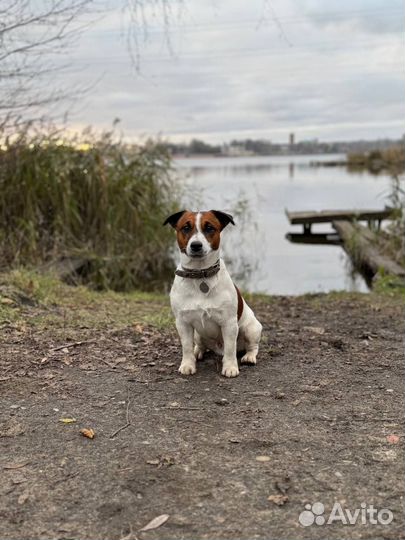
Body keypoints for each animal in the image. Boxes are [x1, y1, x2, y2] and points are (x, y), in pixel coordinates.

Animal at [163, 209, 262, 378]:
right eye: (185, 228)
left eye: (209, 228)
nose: (196, 245)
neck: (200, 274)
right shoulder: (182, 323)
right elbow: (186, 347)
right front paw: (188, 364)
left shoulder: (229, 323)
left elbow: (230, 349)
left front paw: (230, 367)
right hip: (198, 334)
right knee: (200, 345)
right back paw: (198, 352)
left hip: (252, 329)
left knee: (251, 347)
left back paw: (249, 357)